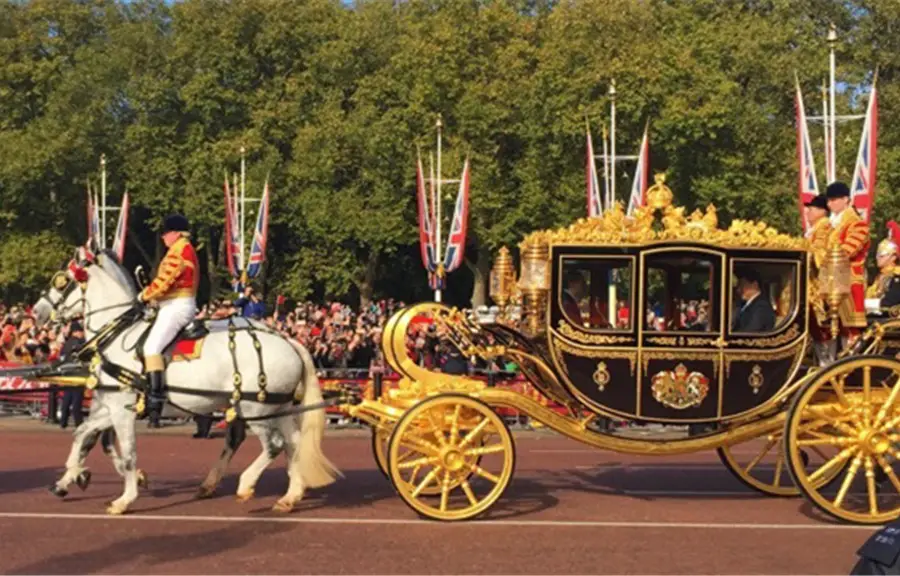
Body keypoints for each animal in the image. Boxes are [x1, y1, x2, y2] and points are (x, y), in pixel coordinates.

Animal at [48, 252, 342, 512]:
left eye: (62, 281)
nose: (42, 313)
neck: (117, 336)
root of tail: (288, 340)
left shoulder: (122, 409)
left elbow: (127, 452)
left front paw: (124, 498)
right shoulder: (110, 406)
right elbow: (83, 433)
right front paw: (70, 478)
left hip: (255, 409)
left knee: (274, 445)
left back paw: (246, 484)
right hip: (277, 408)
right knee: (292, 443)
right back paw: (289, 495)